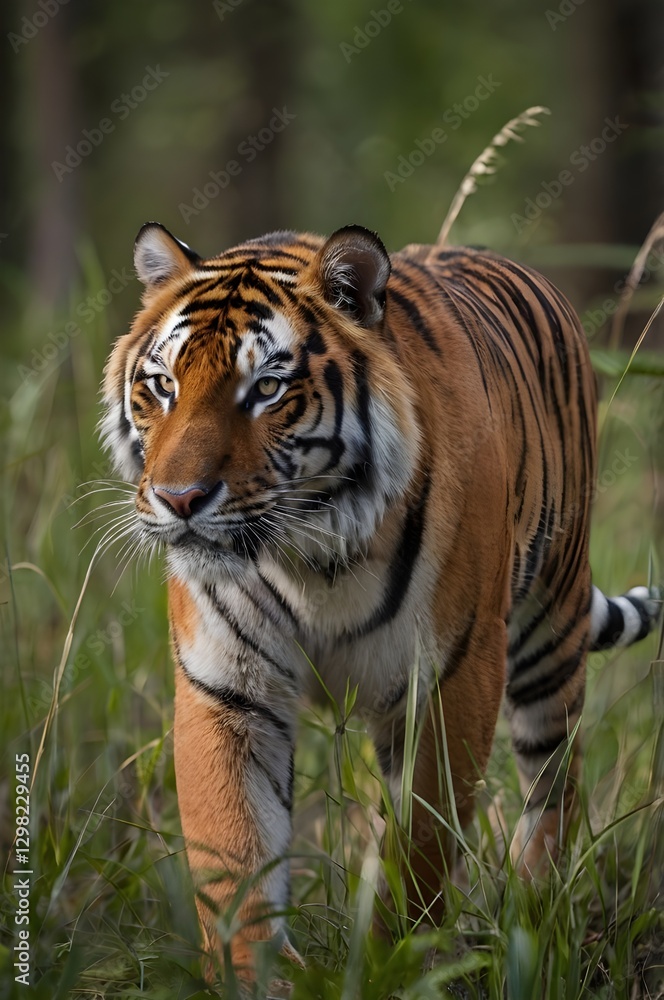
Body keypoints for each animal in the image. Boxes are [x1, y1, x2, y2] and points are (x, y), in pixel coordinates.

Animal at [100, 220, 661, 985]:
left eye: (266, 388)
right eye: (163, 385)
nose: (179, 500)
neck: (311, 554)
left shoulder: (453, 675)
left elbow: (422, 840)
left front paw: (396, 960)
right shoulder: (228, 689)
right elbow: (235, 856)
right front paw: (256, 975)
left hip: (550, 630)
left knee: (556, 780)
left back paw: (534, 910)